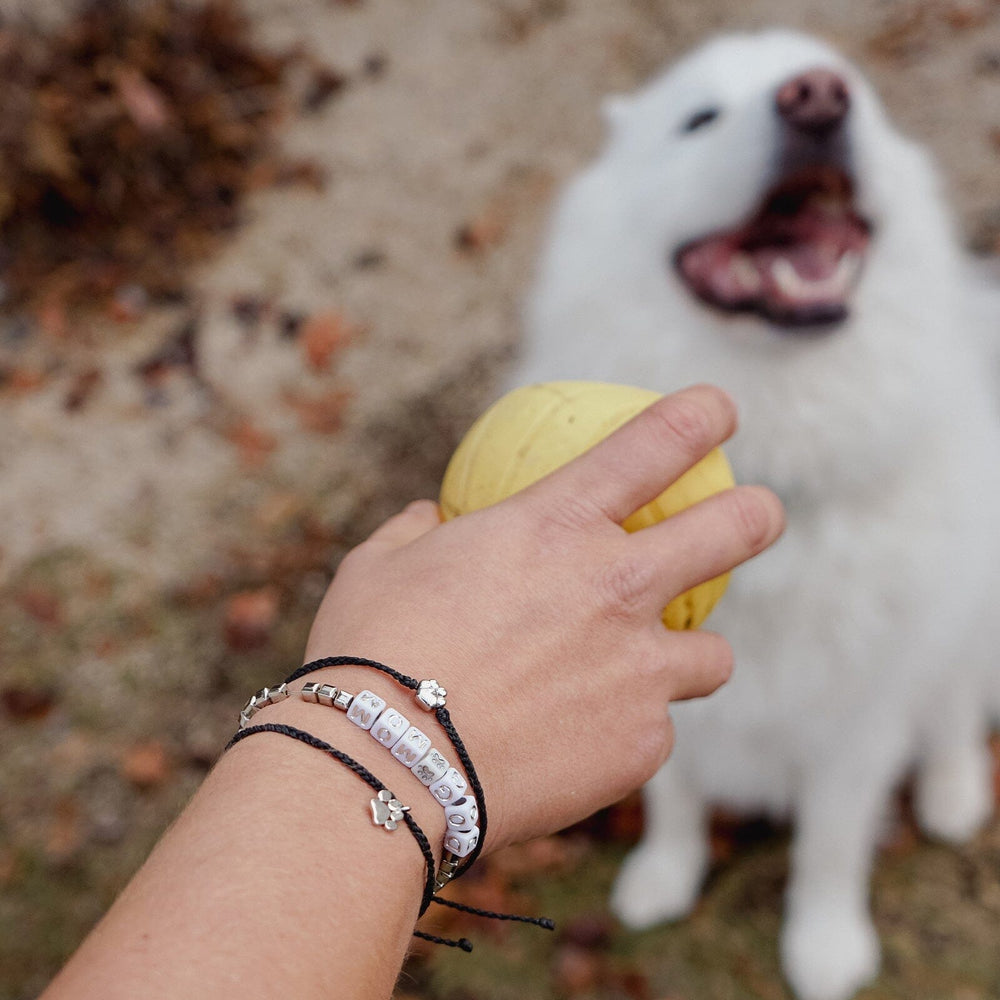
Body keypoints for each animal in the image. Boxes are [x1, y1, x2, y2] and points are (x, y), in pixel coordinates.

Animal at [516, 27, 1000, 1000]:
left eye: (852, 90)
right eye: (699, 119)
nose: (818, 97)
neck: (774, 438)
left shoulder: (855, 726)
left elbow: (829, 849)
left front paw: (825, 947)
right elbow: (673, 801)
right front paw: (663, 878)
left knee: (959, 702)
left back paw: (953, 792)